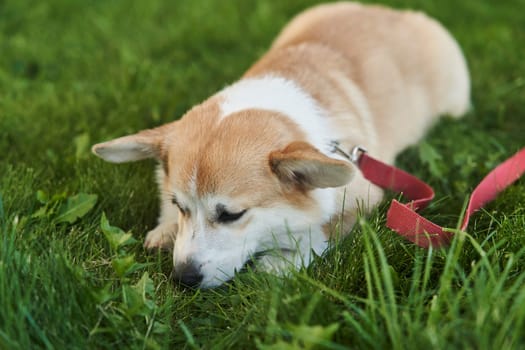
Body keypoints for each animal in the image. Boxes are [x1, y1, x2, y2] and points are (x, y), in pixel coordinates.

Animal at [92, 2, 468, 288]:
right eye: (180, 205)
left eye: (231, 215)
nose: (184, 279)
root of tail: (388, 11)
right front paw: (167, 229)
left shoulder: (364, 194)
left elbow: (321, 231)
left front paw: (279, 264)